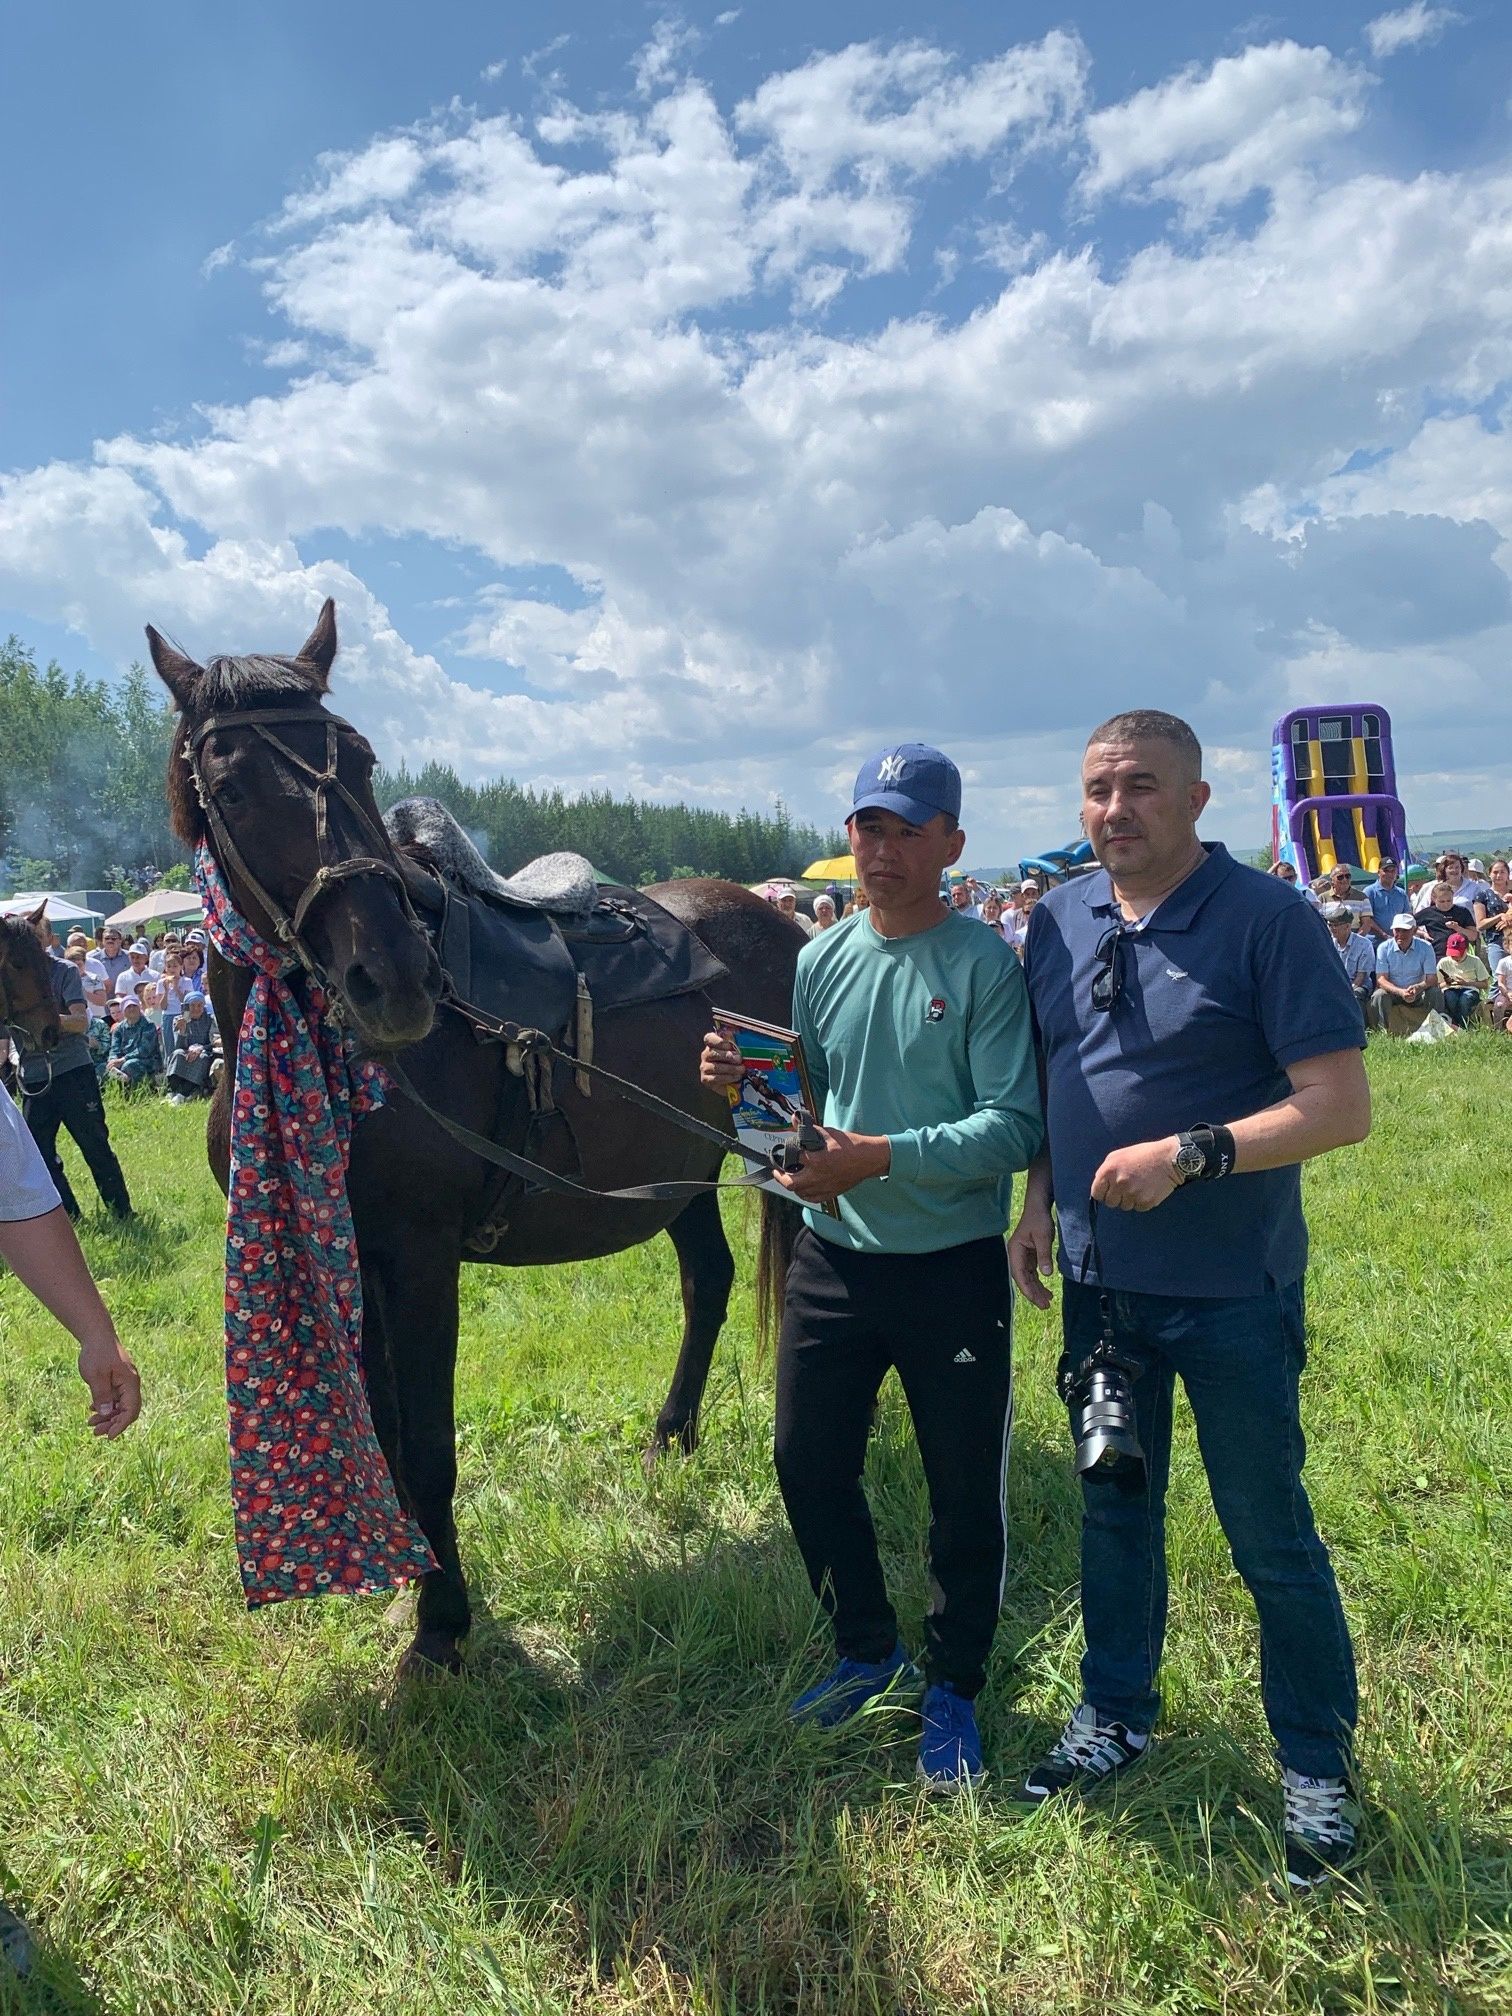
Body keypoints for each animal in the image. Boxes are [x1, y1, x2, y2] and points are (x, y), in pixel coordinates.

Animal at [145, 604, 806, 1677]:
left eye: (361, 763)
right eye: (232, 786)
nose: (395, 979)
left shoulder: (418, 1259)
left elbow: (426, 1443)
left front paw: (443, 1626)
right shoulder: (357, 1253)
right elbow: (383, 1430)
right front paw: (415, 1583)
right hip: (679, 1169)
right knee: (706, 1279)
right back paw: (670, 1439)